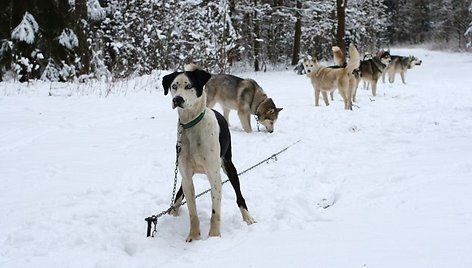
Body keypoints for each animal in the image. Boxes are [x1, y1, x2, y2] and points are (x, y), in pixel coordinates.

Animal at [161, 68, 254, 242]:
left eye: (189, 85)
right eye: (174, 86)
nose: (177, 99)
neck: (191, 125)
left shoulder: (214, 176)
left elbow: (215, 211)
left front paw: (214, 235)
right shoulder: (186, 176)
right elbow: (193, 213)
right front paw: (193, 236)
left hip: (228, 165)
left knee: (239, 196)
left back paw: (248, 217)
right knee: (179, 192)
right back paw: (174, 210)